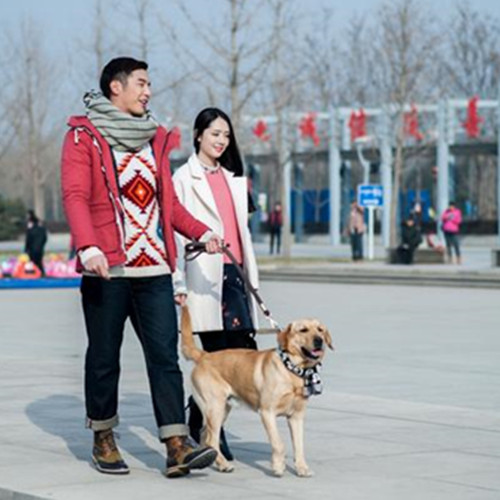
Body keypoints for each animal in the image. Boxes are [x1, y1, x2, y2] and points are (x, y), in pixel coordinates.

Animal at [180, 304, 332, 476]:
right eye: (303, 330)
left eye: (320, 330)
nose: (319, 340)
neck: (292, 370)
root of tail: (204, 356)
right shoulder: (267, 412)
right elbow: (279, 444)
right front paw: (278, 466)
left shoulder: (296, 416)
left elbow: (299, 446)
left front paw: (302, 468)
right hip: (215, 407)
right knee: (212, 439)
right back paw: (223, 464)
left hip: (222, 409)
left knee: (206, 435)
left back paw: (210, 459)